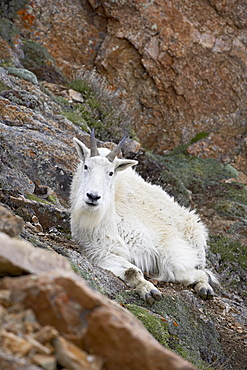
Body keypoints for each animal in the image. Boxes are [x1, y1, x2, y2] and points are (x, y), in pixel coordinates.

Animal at [69, 130, 216, 304]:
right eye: (86, 166)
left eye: (111, 172)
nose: (93, 196)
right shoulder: (96, 250)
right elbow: (131, 270)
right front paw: (149, 291)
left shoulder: (164, 244)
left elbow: (175, 269)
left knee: (201, 270)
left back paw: (205, 288)